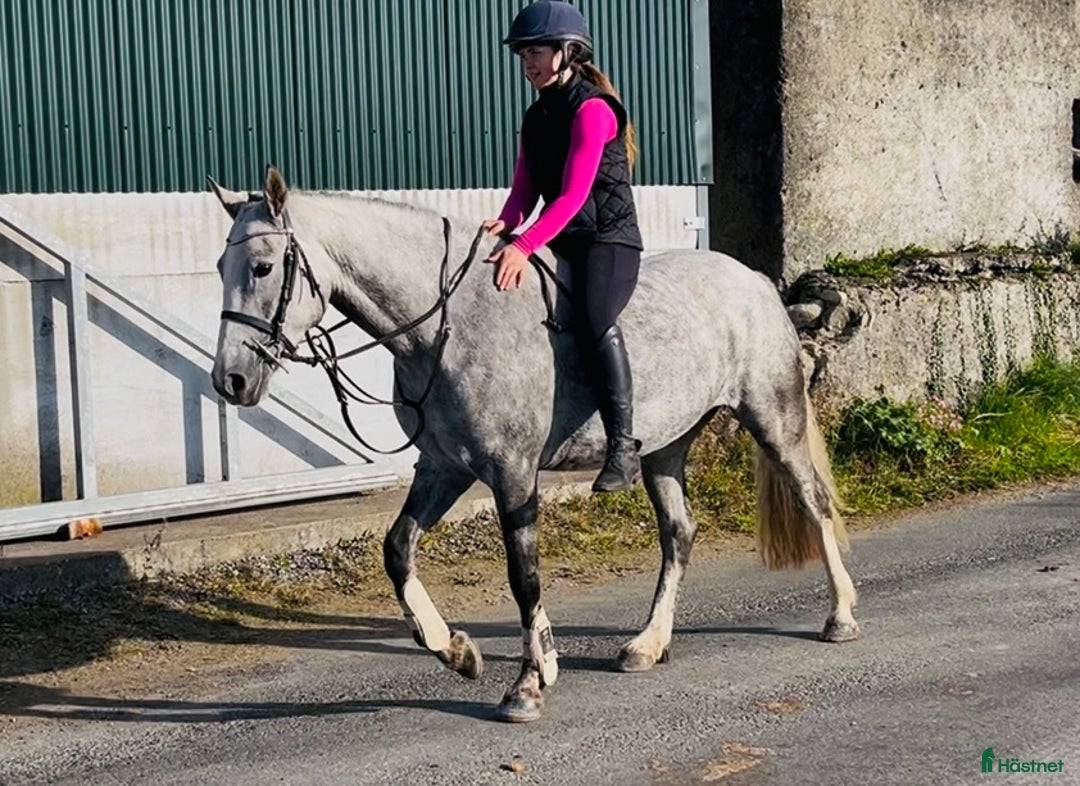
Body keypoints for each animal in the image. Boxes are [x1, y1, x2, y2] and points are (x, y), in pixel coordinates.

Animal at [209, 166, 858, 724]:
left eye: (263, 267)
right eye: (220, 265)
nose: (230, 380)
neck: (448, 326)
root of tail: (754, 280)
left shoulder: (512, 472)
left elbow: (524, 576)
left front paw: (526, 684)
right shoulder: (443, 467)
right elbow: (397, 551)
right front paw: (457, 651)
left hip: (772, 417)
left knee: (814, 502)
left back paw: (841, 617)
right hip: (665, 446)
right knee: (679, 532)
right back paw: (647, 644)